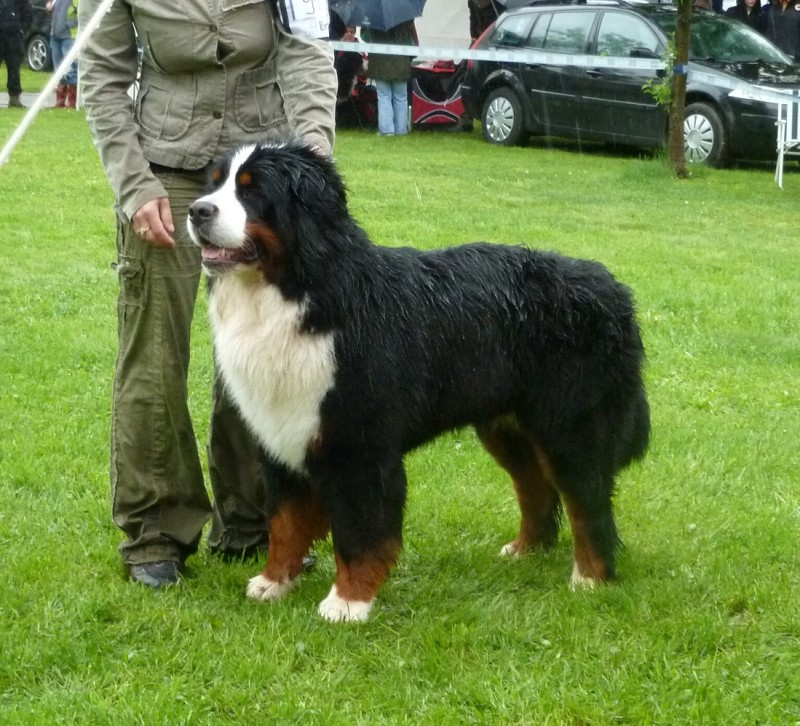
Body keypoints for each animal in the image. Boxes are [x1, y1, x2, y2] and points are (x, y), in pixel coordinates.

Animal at [188, 142, 648, 624]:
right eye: (214, 184)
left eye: (253, 191)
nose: (196, 210)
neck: (301, 294)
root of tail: (614, 289)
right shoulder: (282, 433)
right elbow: (285, 522)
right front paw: (274, 581)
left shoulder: (360, 446)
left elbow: (362, 532)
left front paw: (348, 601)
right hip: (507, 429)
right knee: (536, 489)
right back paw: (526, 551)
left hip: (570, 428)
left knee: (588, 503)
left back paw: (590, 577)